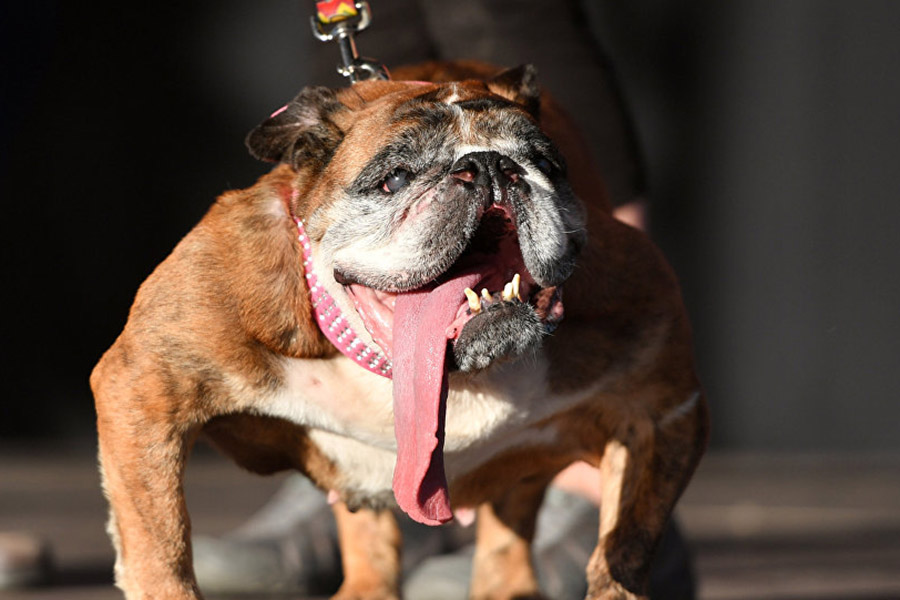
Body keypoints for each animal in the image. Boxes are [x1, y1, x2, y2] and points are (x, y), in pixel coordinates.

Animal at [93, 62, 712, 600]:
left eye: (544, 163)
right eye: (395, 179)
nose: (490, 165)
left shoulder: (659, 408)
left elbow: (623, 545)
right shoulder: (146, 390)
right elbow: (162, 549)